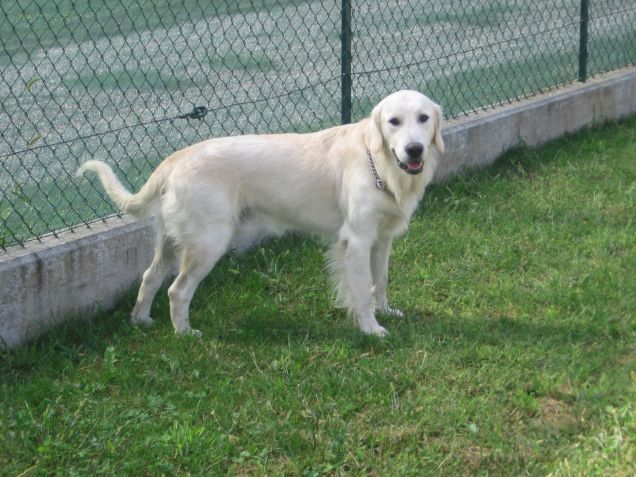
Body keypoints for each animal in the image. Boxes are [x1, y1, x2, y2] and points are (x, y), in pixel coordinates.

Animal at [79, 89, 444, 334]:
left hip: (170, 242)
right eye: (393, 122)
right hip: (208, 243)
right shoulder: (355, 241)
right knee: (176, 291)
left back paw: (140, 320)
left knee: (150, 277)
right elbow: (362, 291)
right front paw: (371, 329)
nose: (414, 149)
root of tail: (176, 159)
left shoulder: (381, 239)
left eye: (423, 118)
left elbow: (379, 281)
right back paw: (185, 333)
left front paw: (387, 312)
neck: (380, 165)